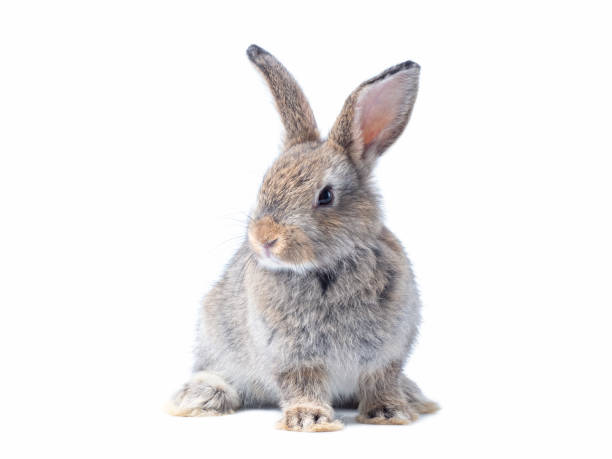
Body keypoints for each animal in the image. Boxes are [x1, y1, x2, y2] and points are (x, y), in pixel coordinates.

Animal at [165, 45, 438, 434]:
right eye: (264, 183)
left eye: (326, 196)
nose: (264, 238)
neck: (327, 268)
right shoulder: (291, 355)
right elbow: (301, 382)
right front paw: (310, 419)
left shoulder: (387, 353)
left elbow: (381, 381)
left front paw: (389, 414)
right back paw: (202, 397)